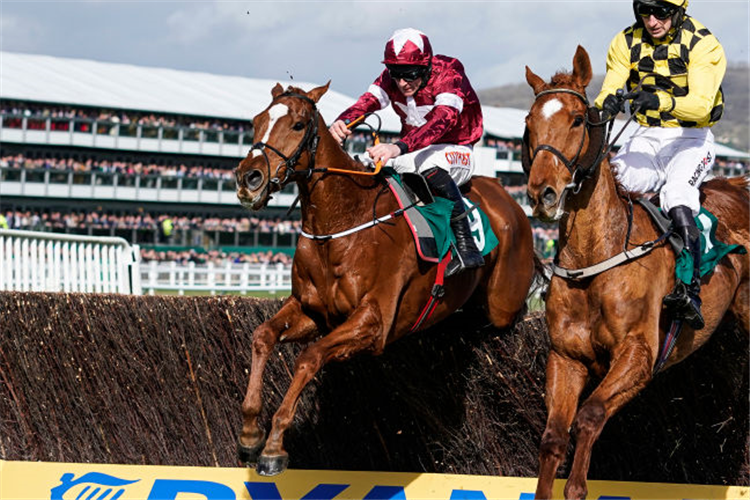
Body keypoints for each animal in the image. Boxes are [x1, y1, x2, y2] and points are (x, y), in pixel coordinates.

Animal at [235, 83, 536, 476]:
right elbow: (262, 336)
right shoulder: (312, 311)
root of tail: (510, 199)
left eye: (298, 125)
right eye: (256, 121)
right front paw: (250, 432)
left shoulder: (373, 322)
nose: (248, 179)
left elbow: (309, 357)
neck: (343, 222)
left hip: (503, 302)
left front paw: (273, 445)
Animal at [524, 45, 750, 498]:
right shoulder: (566, 357)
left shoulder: (638, 355)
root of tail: (741, 184)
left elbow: (590, 417)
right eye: (528, 123)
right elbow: (553, 438)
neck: (595, 256)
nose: (543, 195)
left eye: (578, 119)